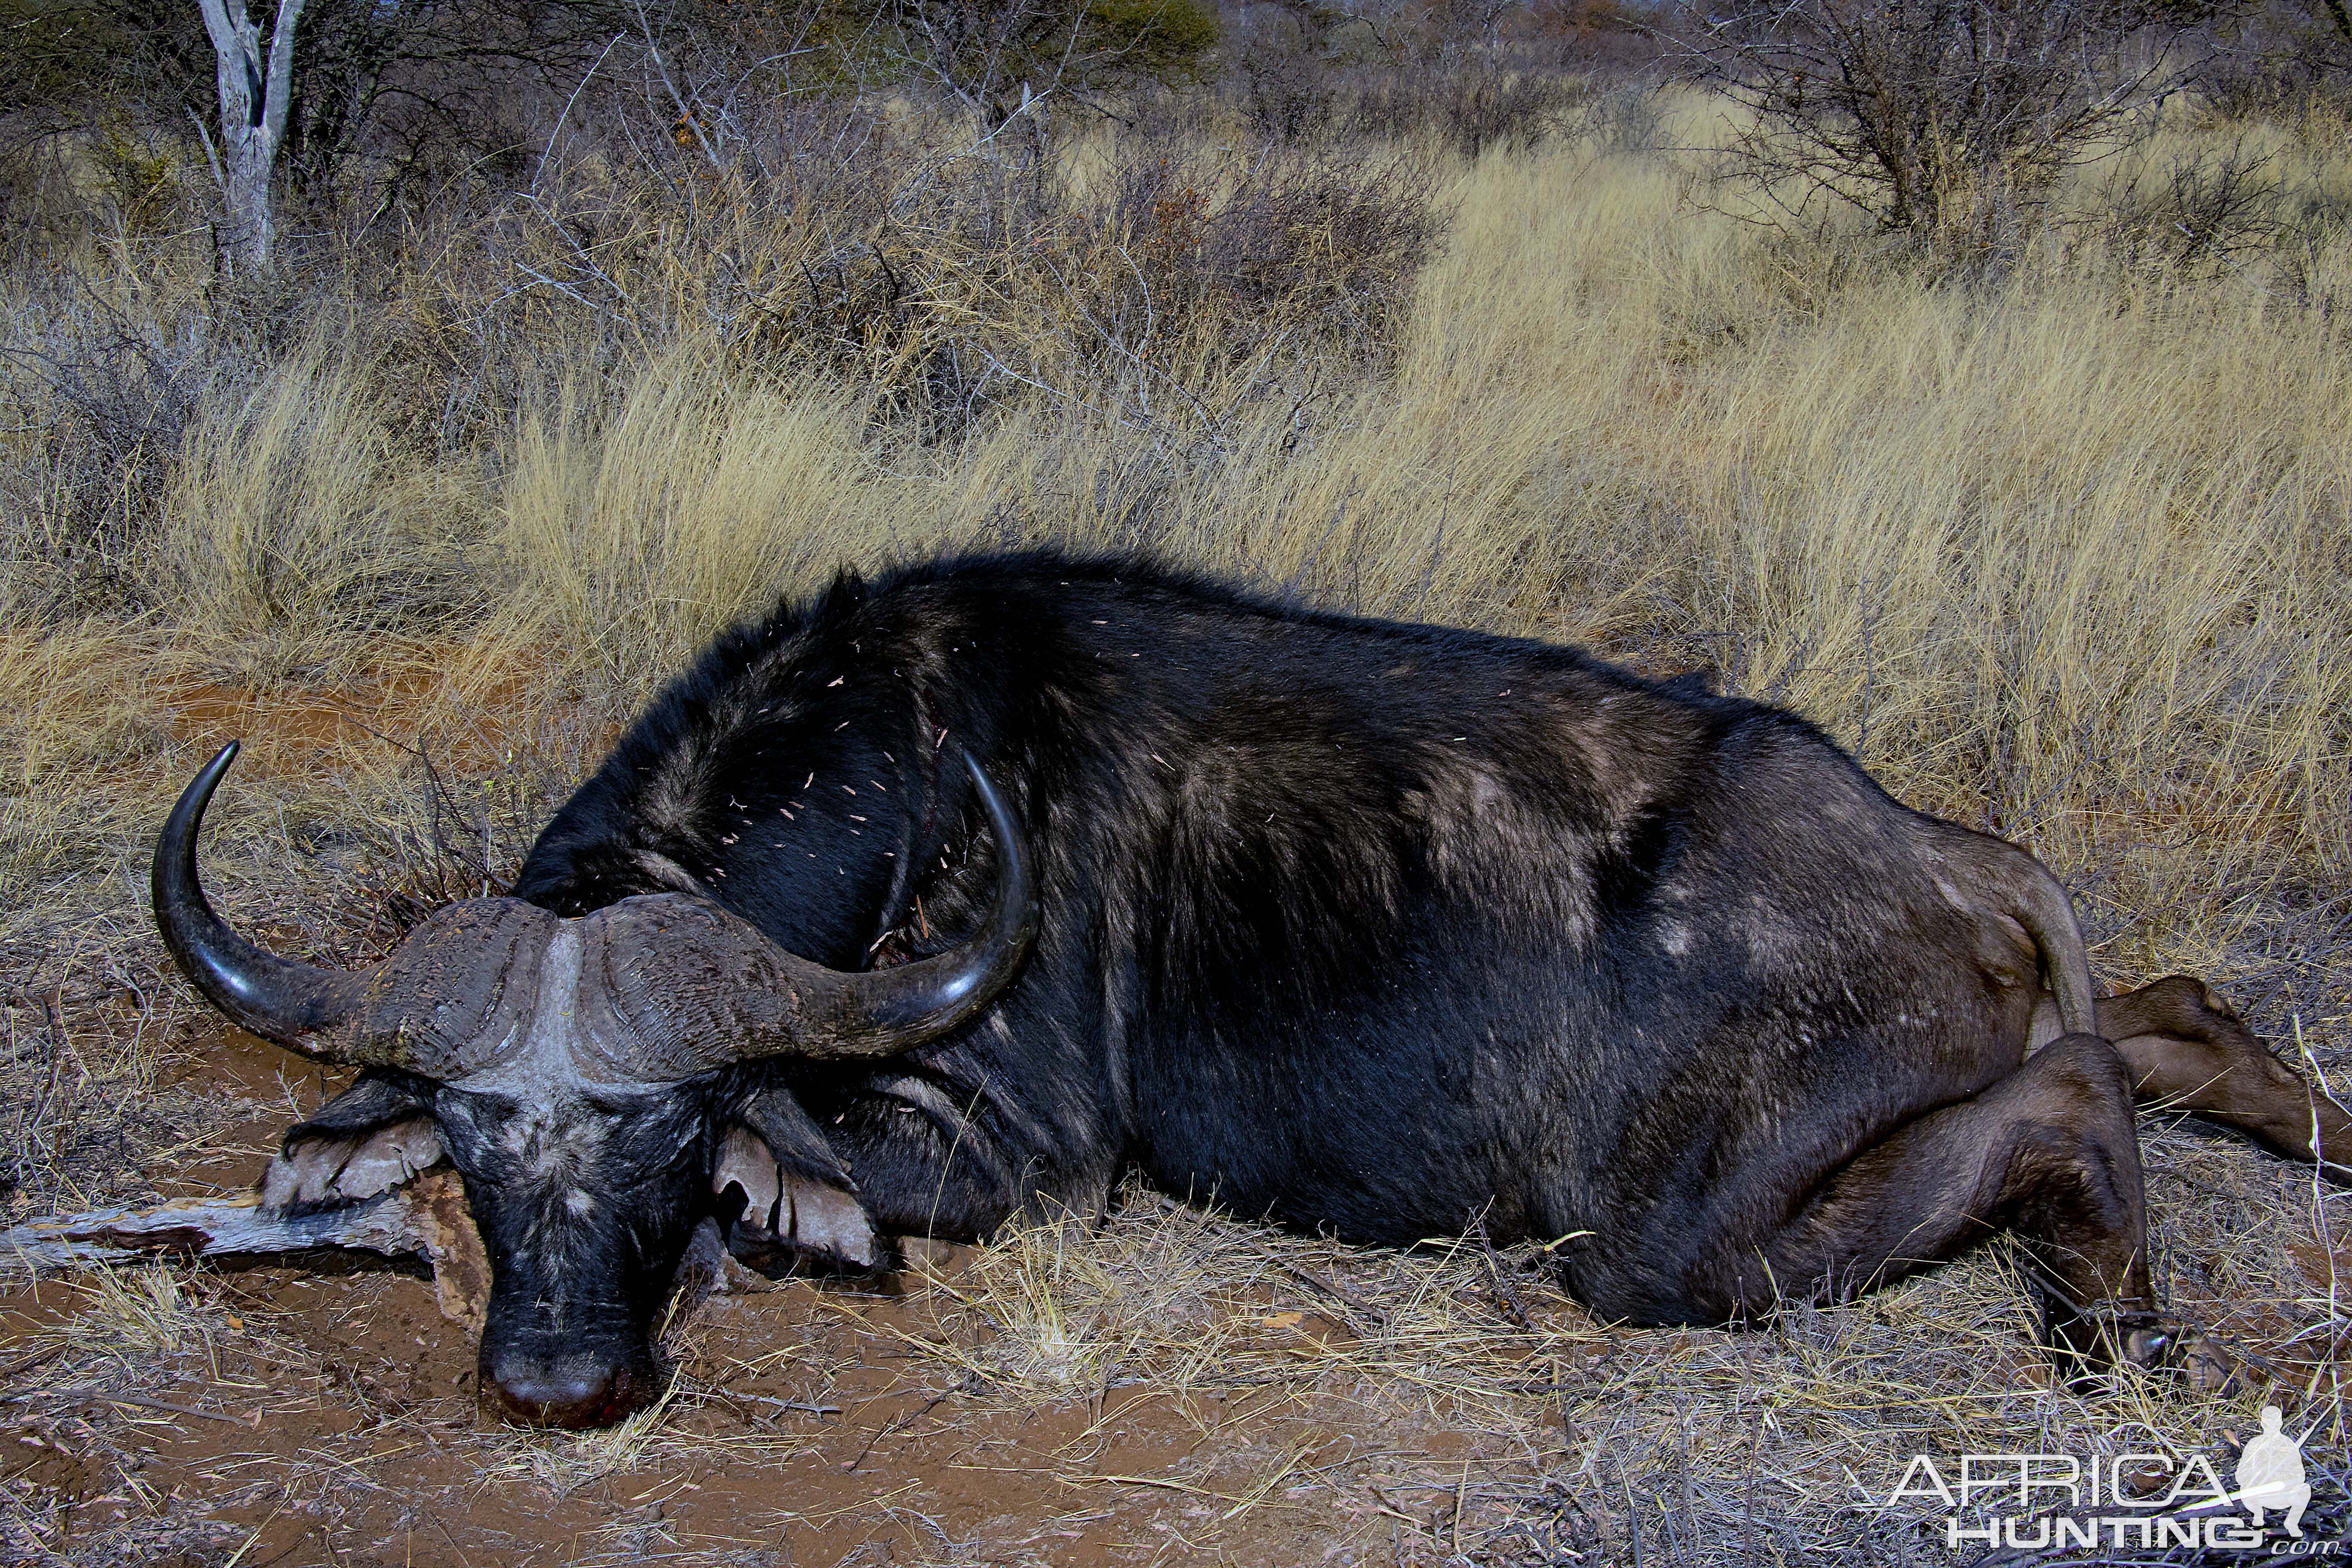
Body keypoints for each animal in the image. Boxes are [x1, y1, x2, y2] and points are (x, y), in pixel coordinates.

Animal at [151, 554, 2352, 1439]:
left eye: (671, 1133)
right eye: (468, 1138)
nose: (553, 1379)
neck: (890, 772)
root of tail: (1944, 859)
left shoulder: (1033, 1157)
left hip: (1669, 1240)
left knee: (2075, 1100)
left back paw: (2117, 1335)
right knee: (2163, 1017)